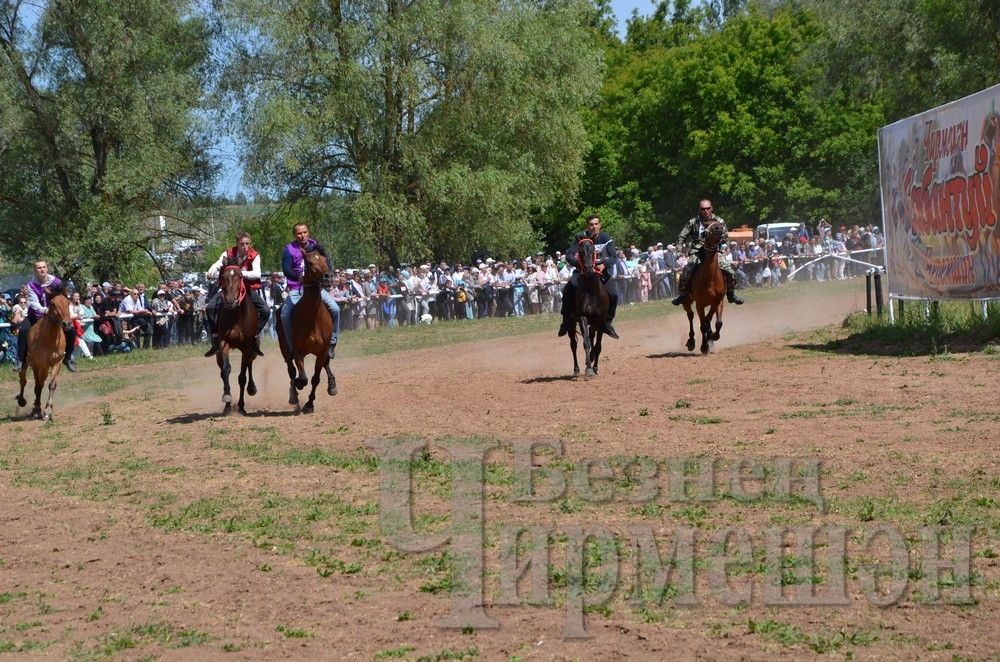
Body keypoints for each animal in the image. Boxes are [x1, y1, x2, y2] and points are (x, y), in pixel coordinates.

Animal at [15, 290, 71, 420]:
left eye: (68, 302)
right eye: (53, 304)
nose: (67, 324)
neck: (50, 339)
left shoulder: (57, 363)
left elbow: (51, 385)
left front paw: (47, 410)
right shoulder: (39, 364)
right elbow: (38, 386)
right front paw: (37, 410)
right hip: (28, 364)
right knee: (23, 381)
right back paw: (23, 401)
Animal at [217, 260, 260, 412]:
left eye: (241, 276)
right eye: (223, 277)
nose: (230, 301)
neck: (236, 316)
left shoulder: (247, 346)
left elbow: (242, 377)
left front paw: (241, 406)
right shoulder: (223, 342)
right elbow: (225, 370)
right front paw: (227, 400)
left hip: (252, 349)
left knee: (249, 366)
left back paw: (252, 388)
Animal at [276, 250, 338, 416]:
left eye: (324, 259)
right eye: (309, 262)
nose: (328, 277)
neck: (313, 319)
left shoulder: (322, 351)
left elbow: (315, 378)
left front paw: (309, 404)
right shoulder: (297, 351)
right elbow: (303, 378)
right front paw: (298, 385)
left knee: (326, 363)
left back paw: (332, 385)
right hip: (285, 349)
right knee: (291, 371)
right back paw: (294, 395)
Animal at [572, 240, 608, 378]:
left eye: (593, 250)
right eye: (580, 250)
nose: (588, 269)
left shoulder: (601, 320)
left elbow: (598, 345)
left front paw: (595, 367)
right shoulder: (583, 317)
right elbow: (586, 342)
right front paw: (588, 368)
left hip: (594, 323)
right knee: (573, 344)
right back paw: (576, 370)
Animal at [680, 222, 728, 358]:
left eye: (719, 224)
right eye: (707, 225)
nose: (718, 228)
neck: (710, 278)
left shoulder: (718, 301)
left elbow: (717, 322)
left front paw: (714, 336)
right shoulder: (699, 304)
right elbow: (702, 325)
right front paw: (704, 346)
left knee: (708, 320)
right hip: (687, 301)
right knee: (690, 315)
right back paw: (691, 341)